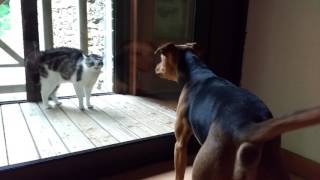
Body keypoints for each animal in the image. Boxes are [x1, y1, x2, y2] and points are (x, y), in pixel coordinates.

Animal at [155, 42, 320, 180]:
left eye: (162, 58)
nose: (155, 67)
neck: (195, 71)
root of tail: (247, 127)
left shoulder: (180, 143)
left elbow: (179, 173)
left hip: (205, 168)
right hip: (275, 166)